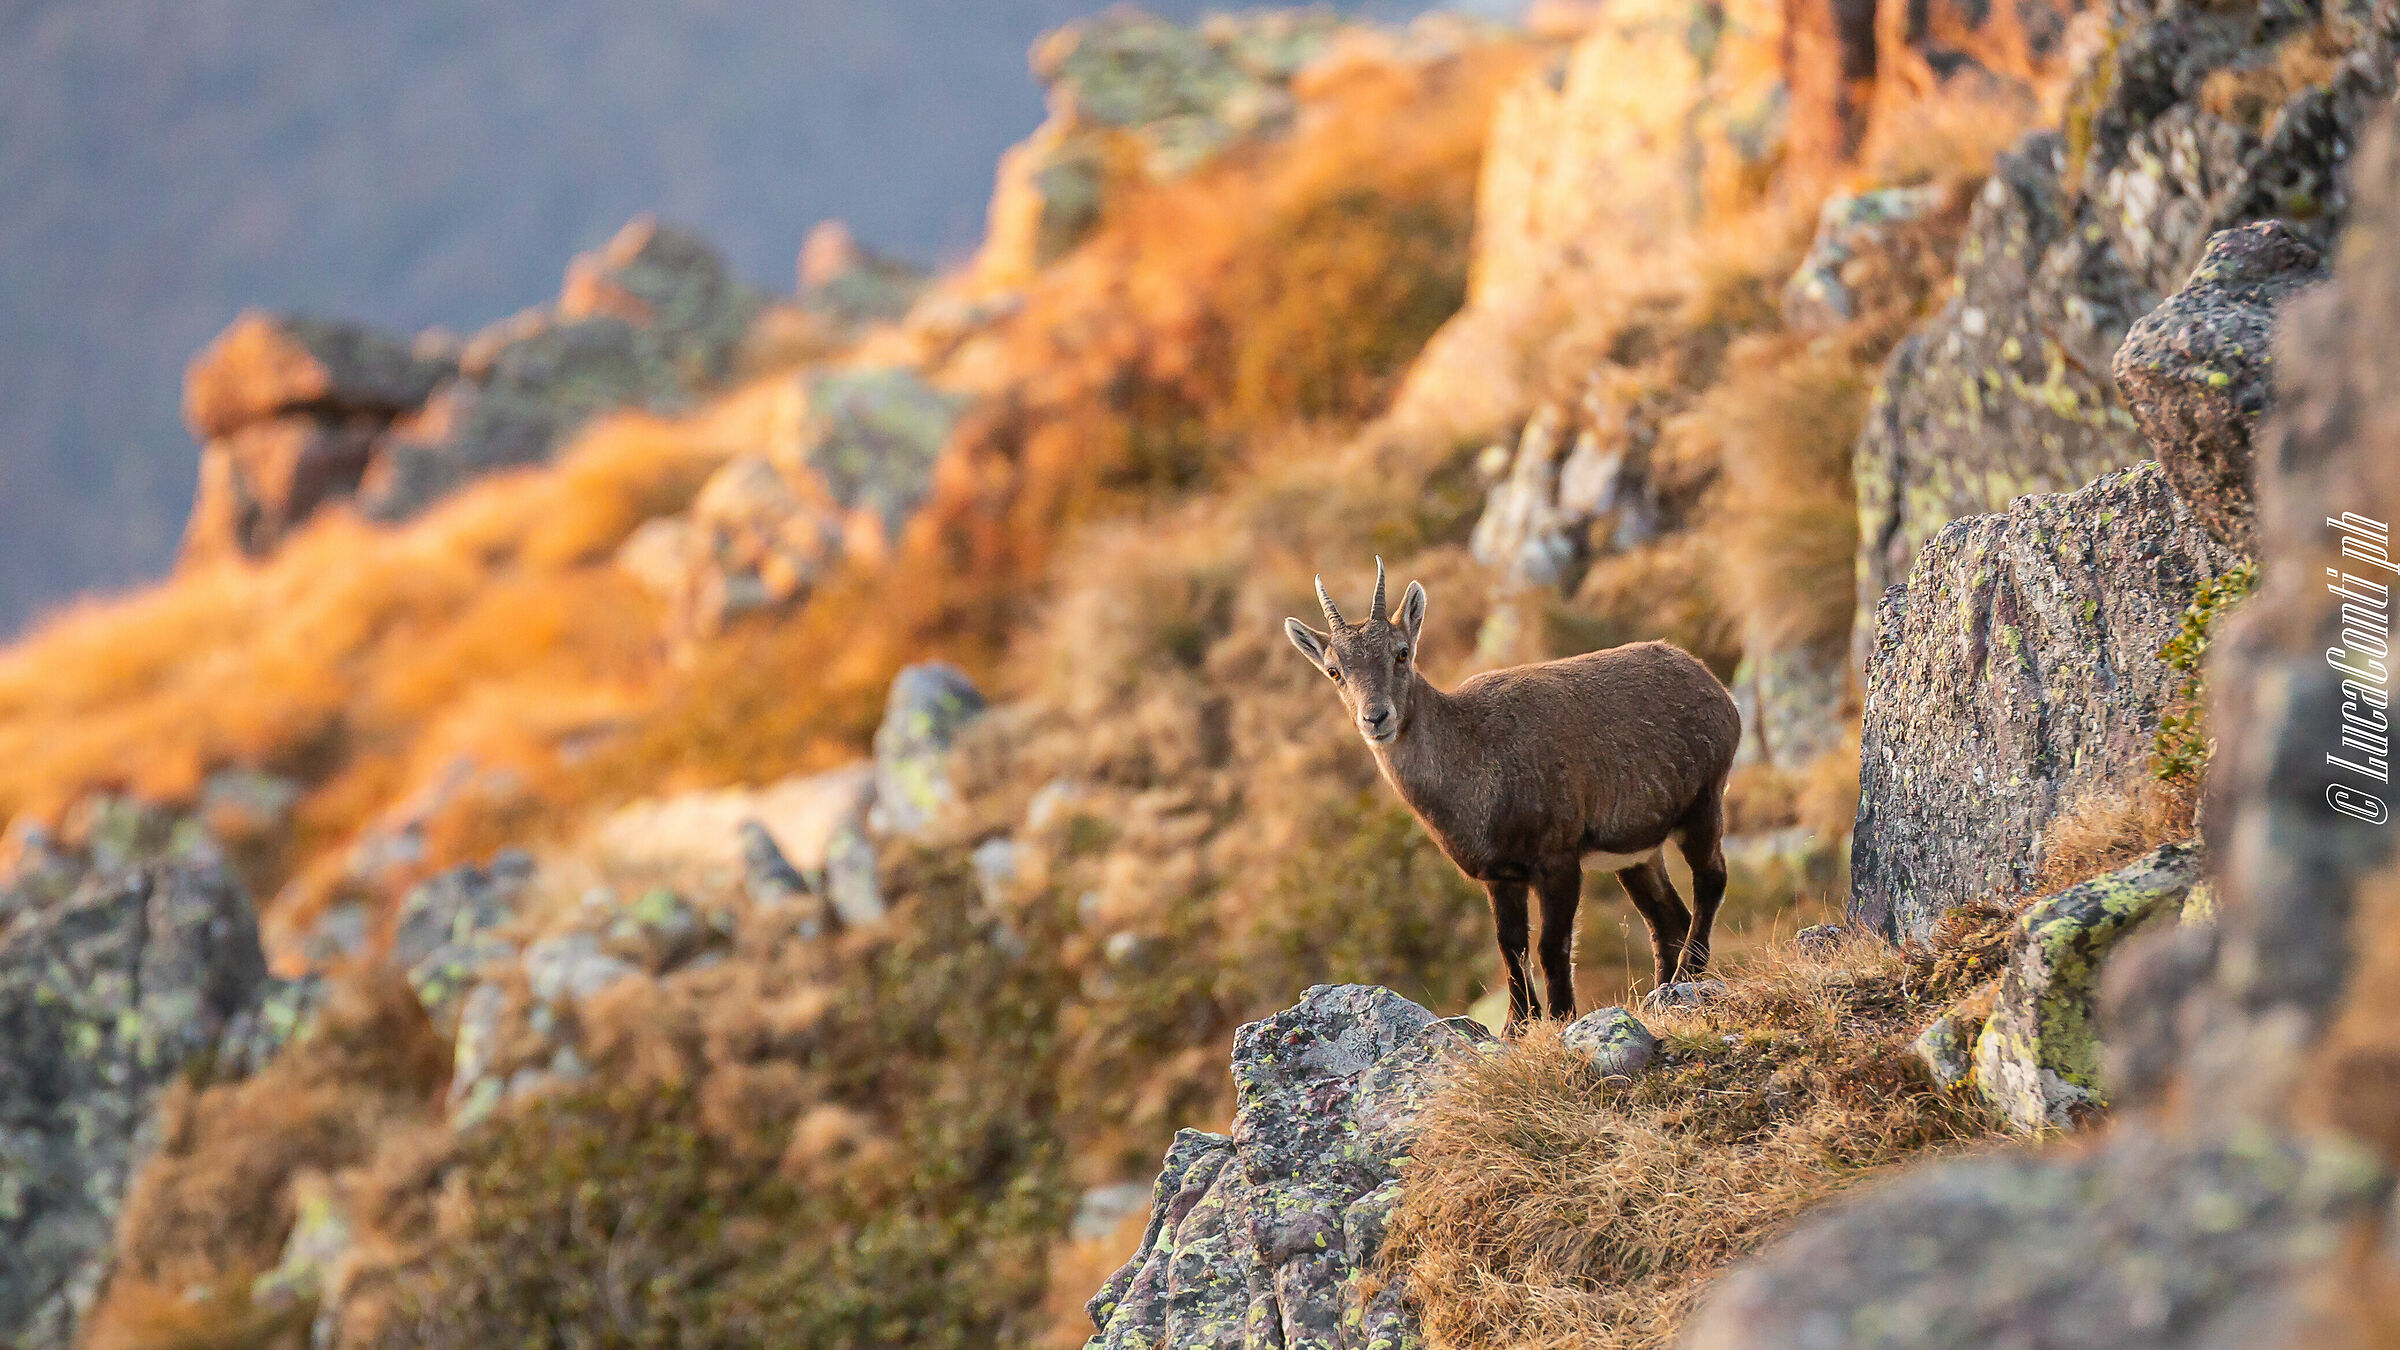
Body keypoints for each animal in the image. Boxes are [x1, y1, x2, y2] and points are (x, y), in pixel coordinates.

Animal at [1285, 560, 1741, 1027]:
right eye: (1335, 671)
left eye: (1401, 653)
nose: (1376, 718)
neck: (1474, 754)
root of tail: (1711, 684)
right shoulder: (1501, 876)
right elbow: (1510, 946)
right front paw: (1517, 1024)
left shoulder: (1558, 862)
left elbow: (1550, 946)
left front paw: (1560, 1017)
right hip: (1636, 854)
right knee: (1667, 919)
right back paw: (1666, 987)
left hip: (1703, 804)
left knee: (1711, 879)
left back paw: (1687, 976)